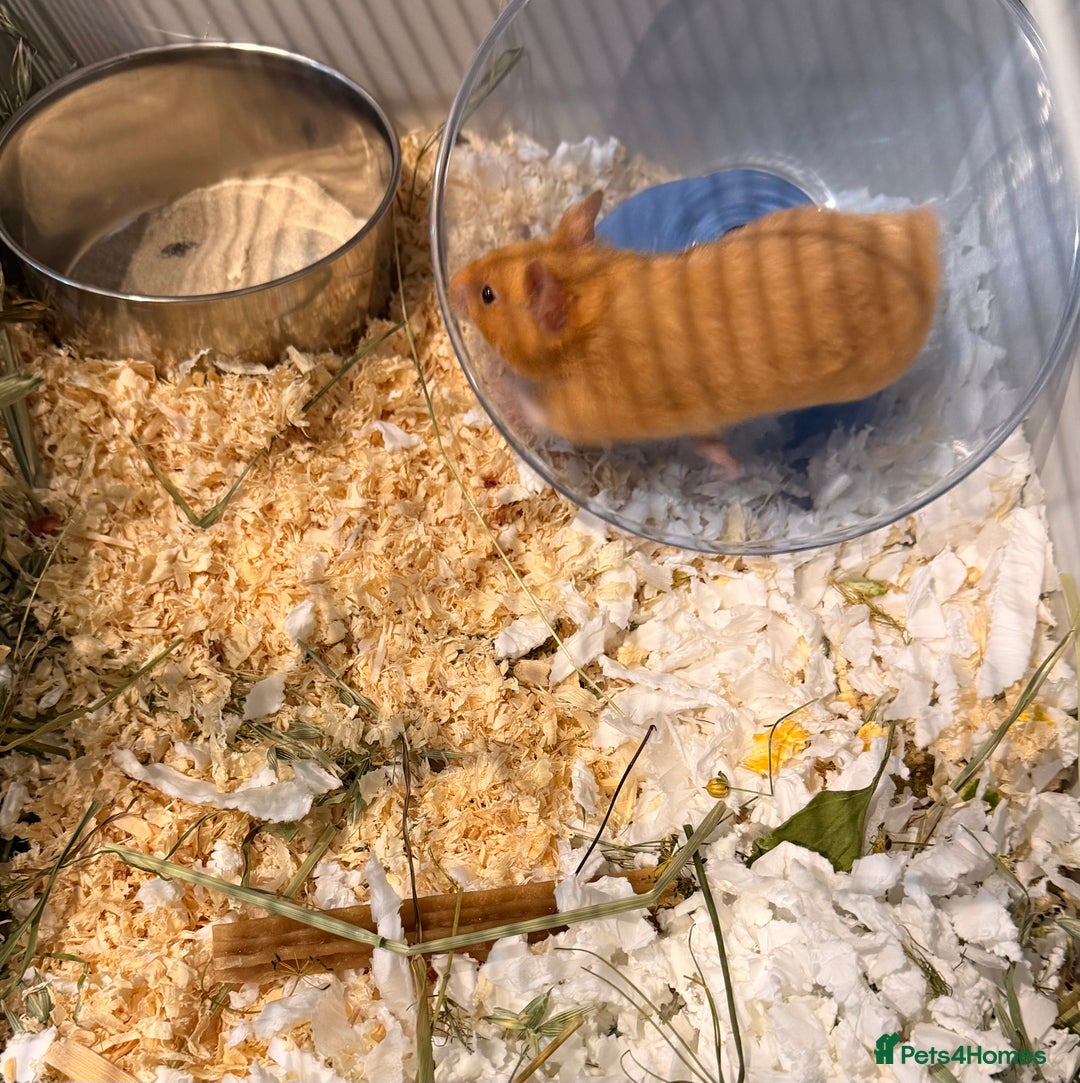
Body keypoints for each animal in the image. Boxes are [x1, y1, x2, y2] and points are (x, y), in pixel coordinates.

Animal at [449, 190, 940, 447]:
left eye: (487, 296)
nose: (451, 283)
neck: (595, 304)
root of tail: (921, 241)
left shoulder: (595, 407)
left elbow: (541, 411)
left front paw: (500, 389)